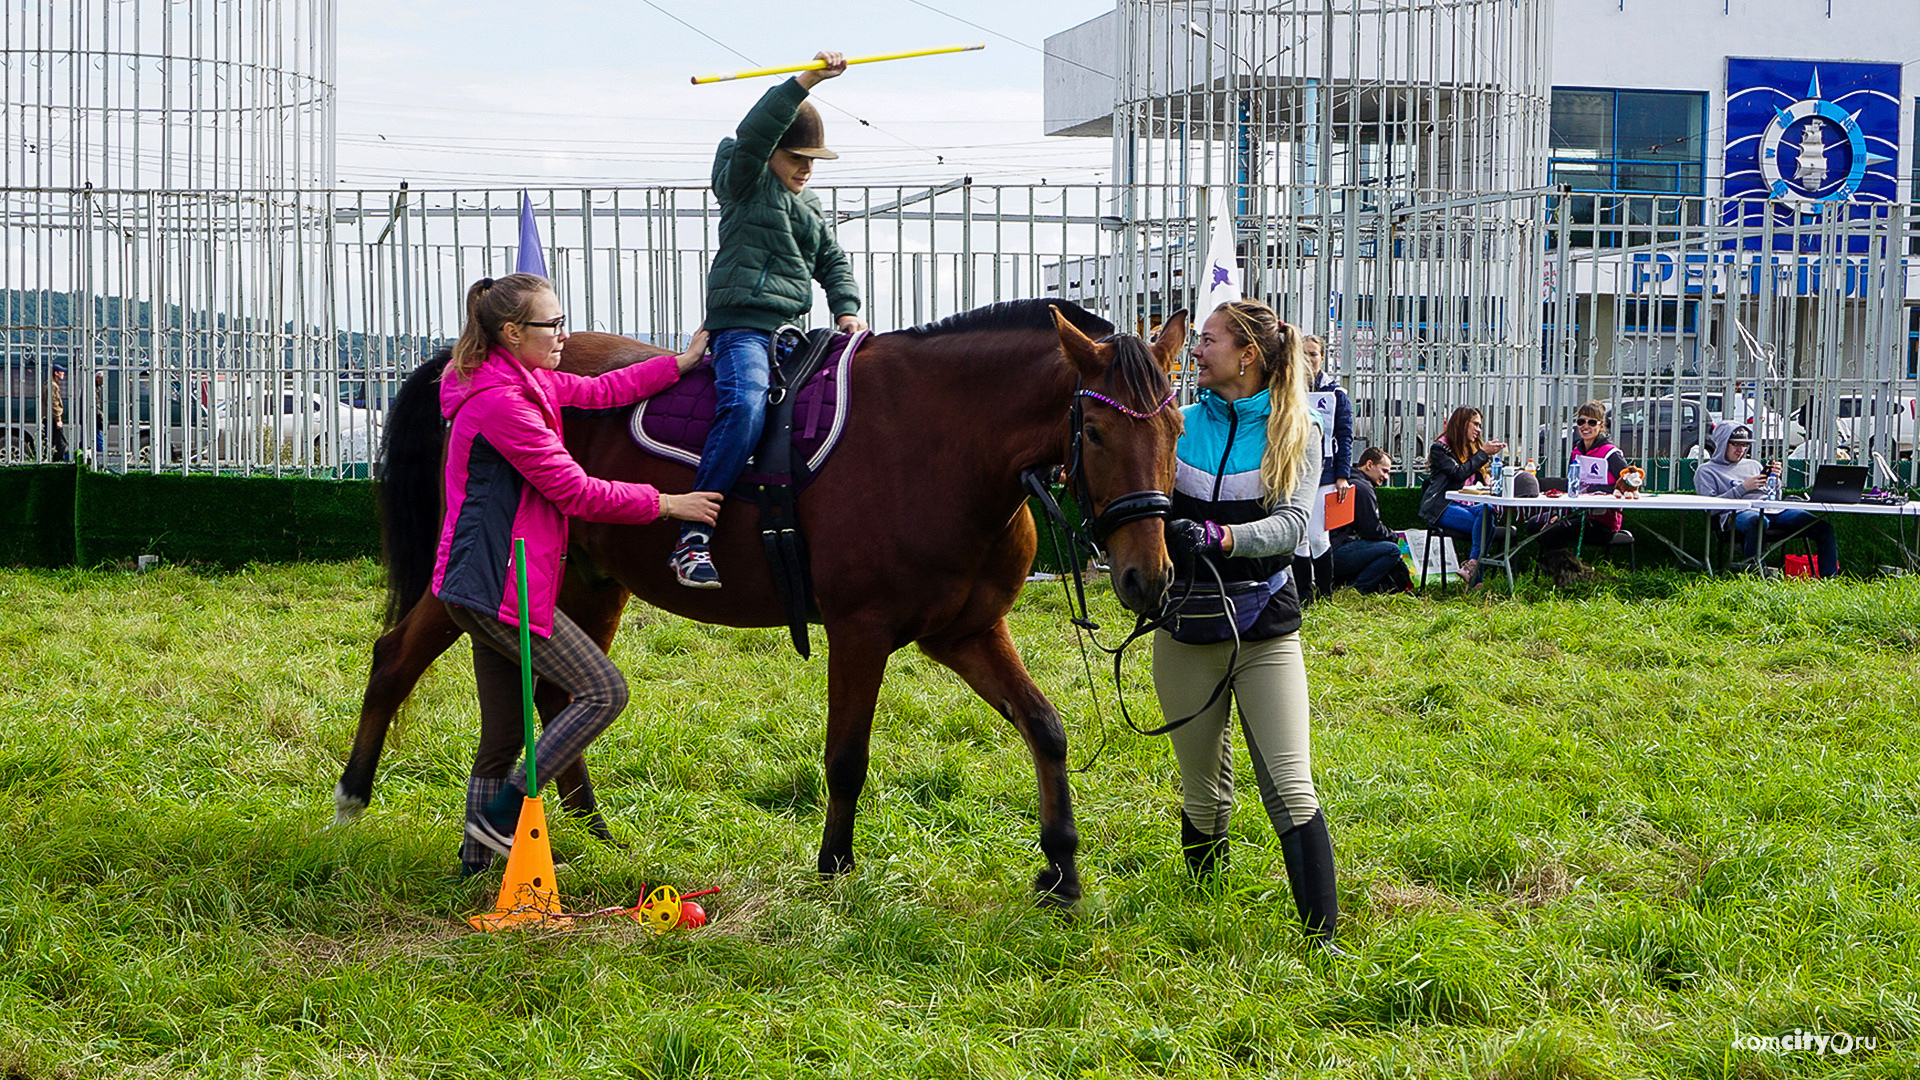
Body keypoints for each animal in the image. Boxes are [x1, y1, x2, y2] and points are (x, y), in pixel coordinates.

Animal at [337, 295, 1190, 899]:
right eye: (1099, 436)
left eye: (1180, 429)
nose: (1148, 578)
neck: (941, 441)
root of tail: (461, 364)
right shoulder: (861, 630)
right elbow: (847, 756)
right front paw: (835, 864)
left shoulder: (967, 631)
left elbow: (1045, 728)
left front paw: (1061, 868)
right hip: (480, 576)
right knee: (395, 657)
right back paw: (353, 796)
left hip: (588, 581)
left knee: (558, 694)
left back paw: (589, 826)